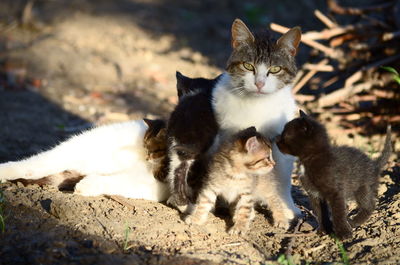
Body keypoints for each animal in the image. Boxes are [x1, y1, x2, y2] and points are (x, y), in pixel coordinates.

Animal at [211, 18, 302, 228]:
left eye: (275, 69)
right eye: (248, 66)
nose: (259, 83)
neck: (256, 104)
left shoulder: (280, 143)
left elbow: (282, 178)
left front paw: (287, 208)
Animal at [276, 110, 392, 239]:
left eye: (285, 135)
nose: (276, 140)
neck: (311, 159)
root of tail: (374, 164)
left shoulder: (335, 192)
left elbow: (338, 213)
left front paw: (344, 234)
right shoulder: (314, 194)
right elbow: (320, 213)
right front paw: (323, 230)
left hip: (363, 187)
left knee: (369, 205)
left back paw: (354, 221)